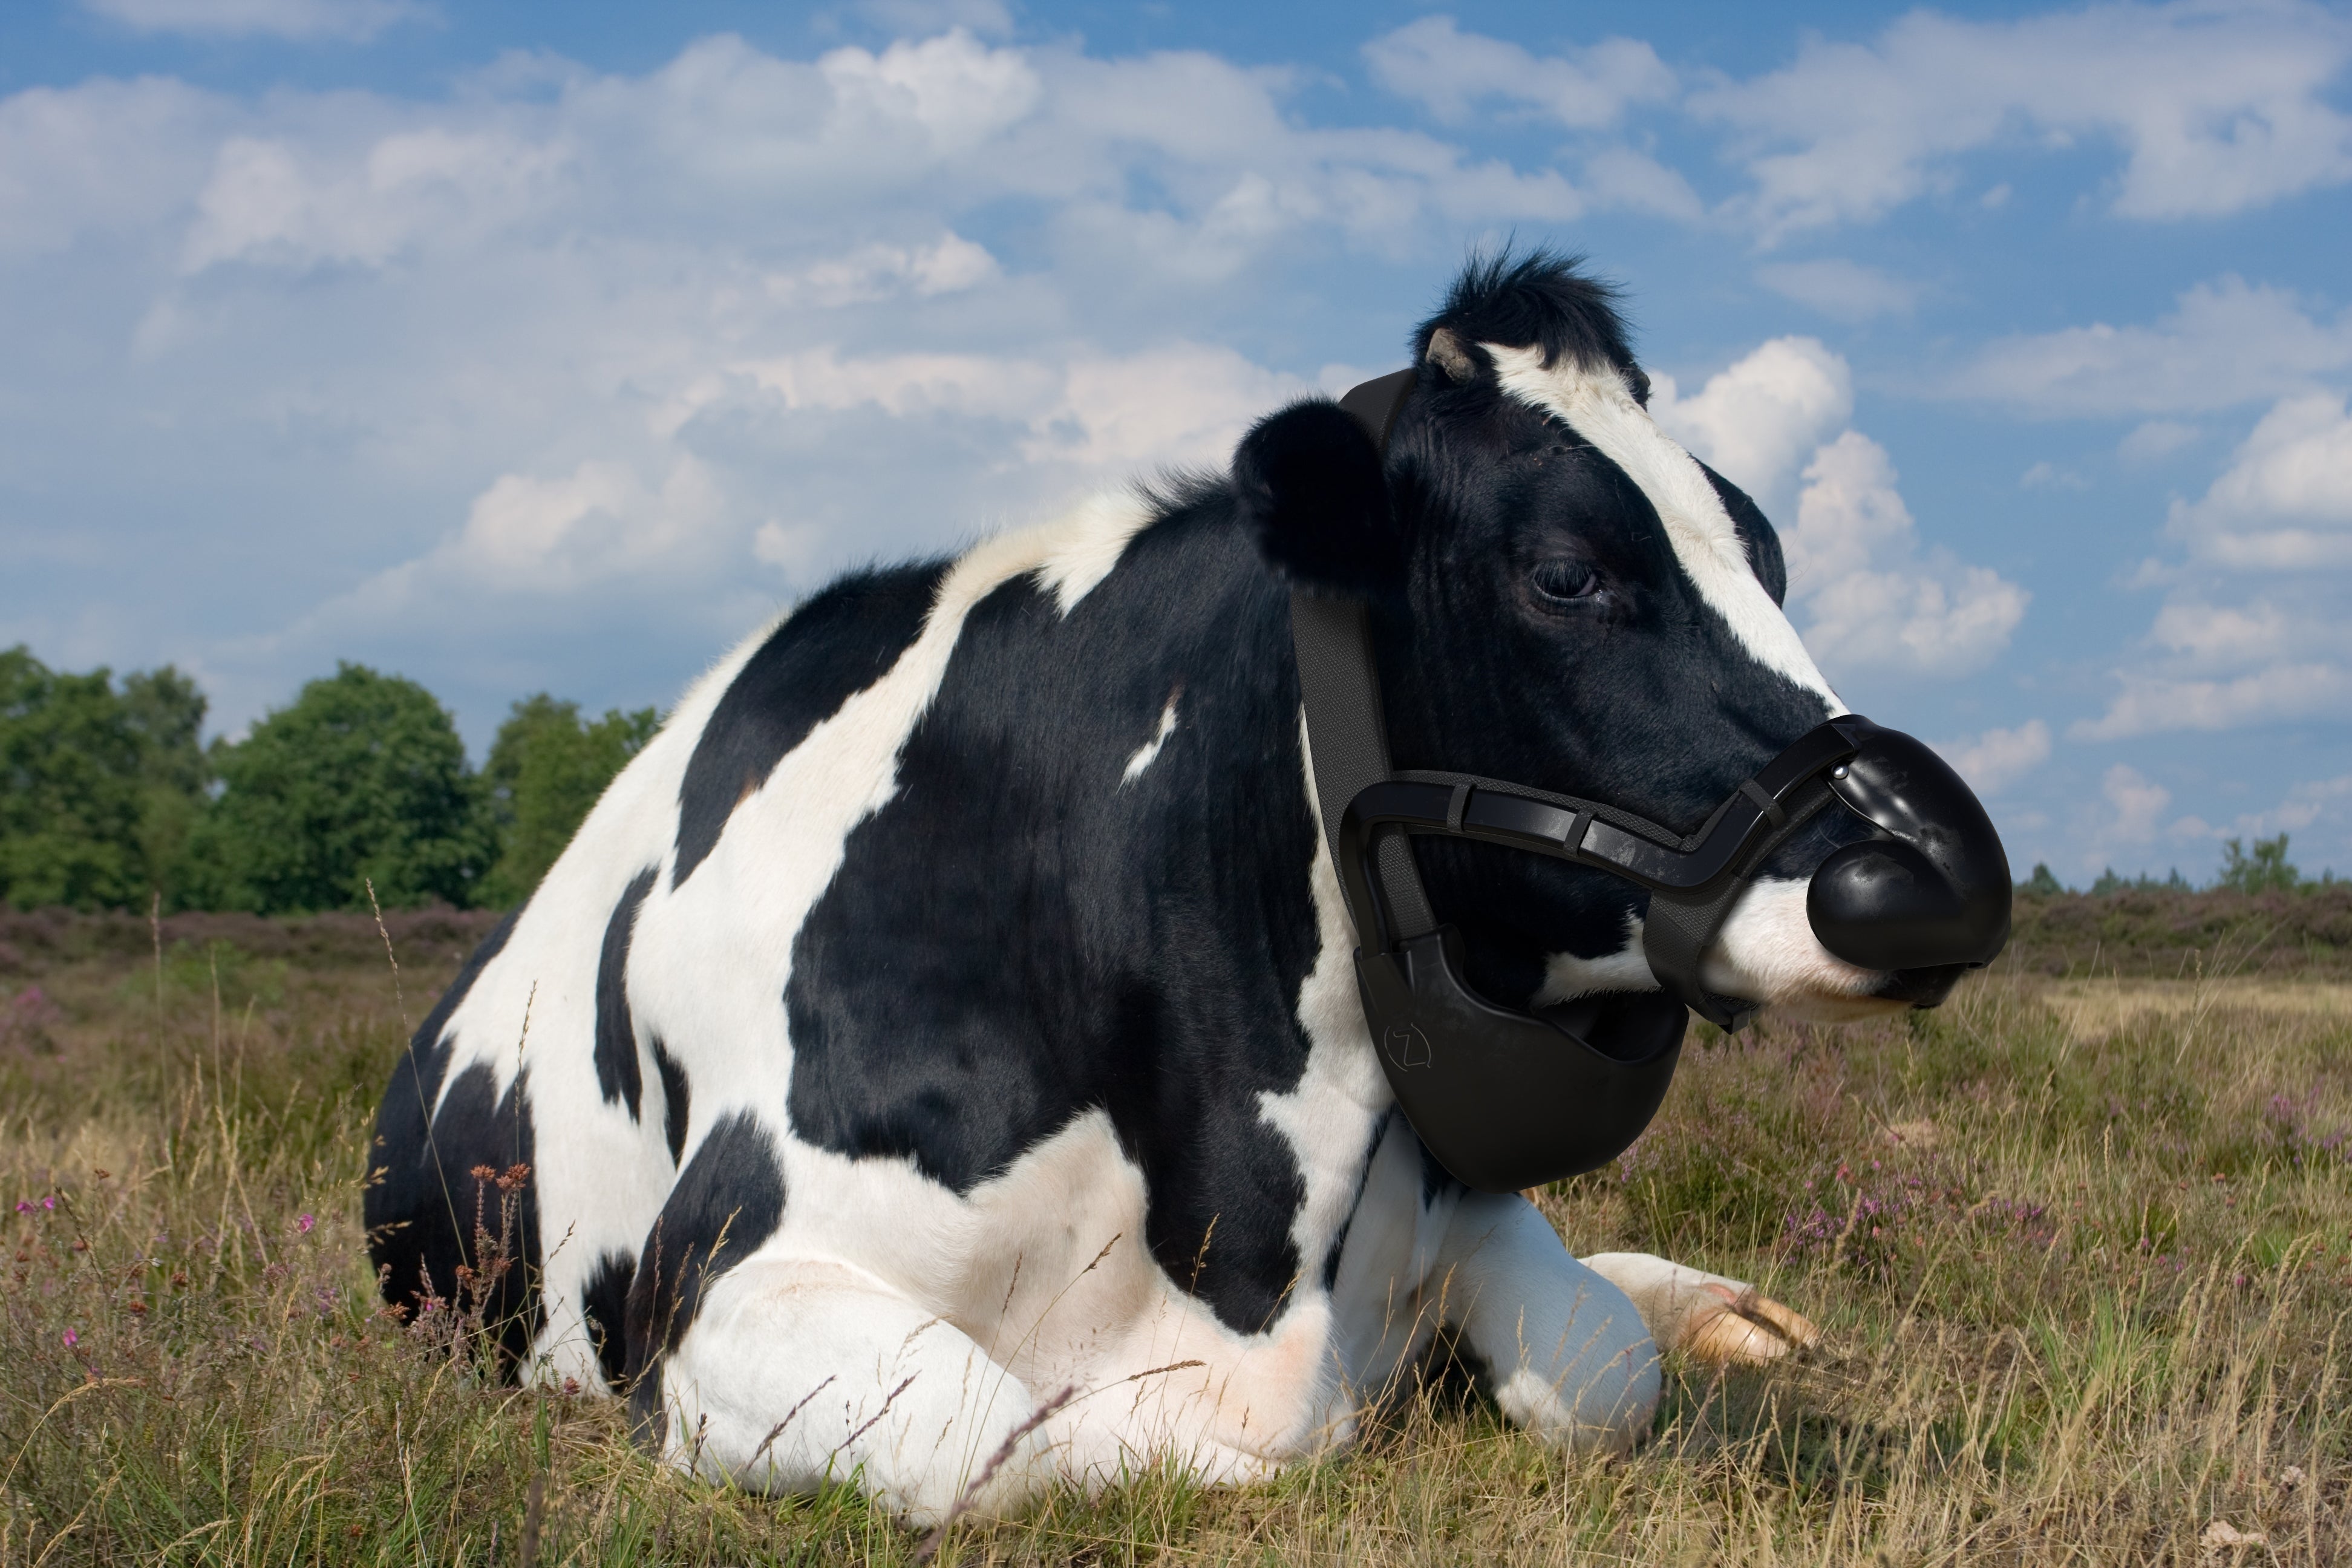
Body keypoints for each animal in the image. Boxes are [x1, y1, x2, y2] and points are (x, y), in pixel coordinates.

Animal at [362, 251, 2004, 1523]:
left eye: (1769, 557)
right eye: (1566, 574)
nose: (1934, 873)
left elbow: (1604, 1364)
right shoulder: (726, 1282)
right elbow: (1022, 1433)